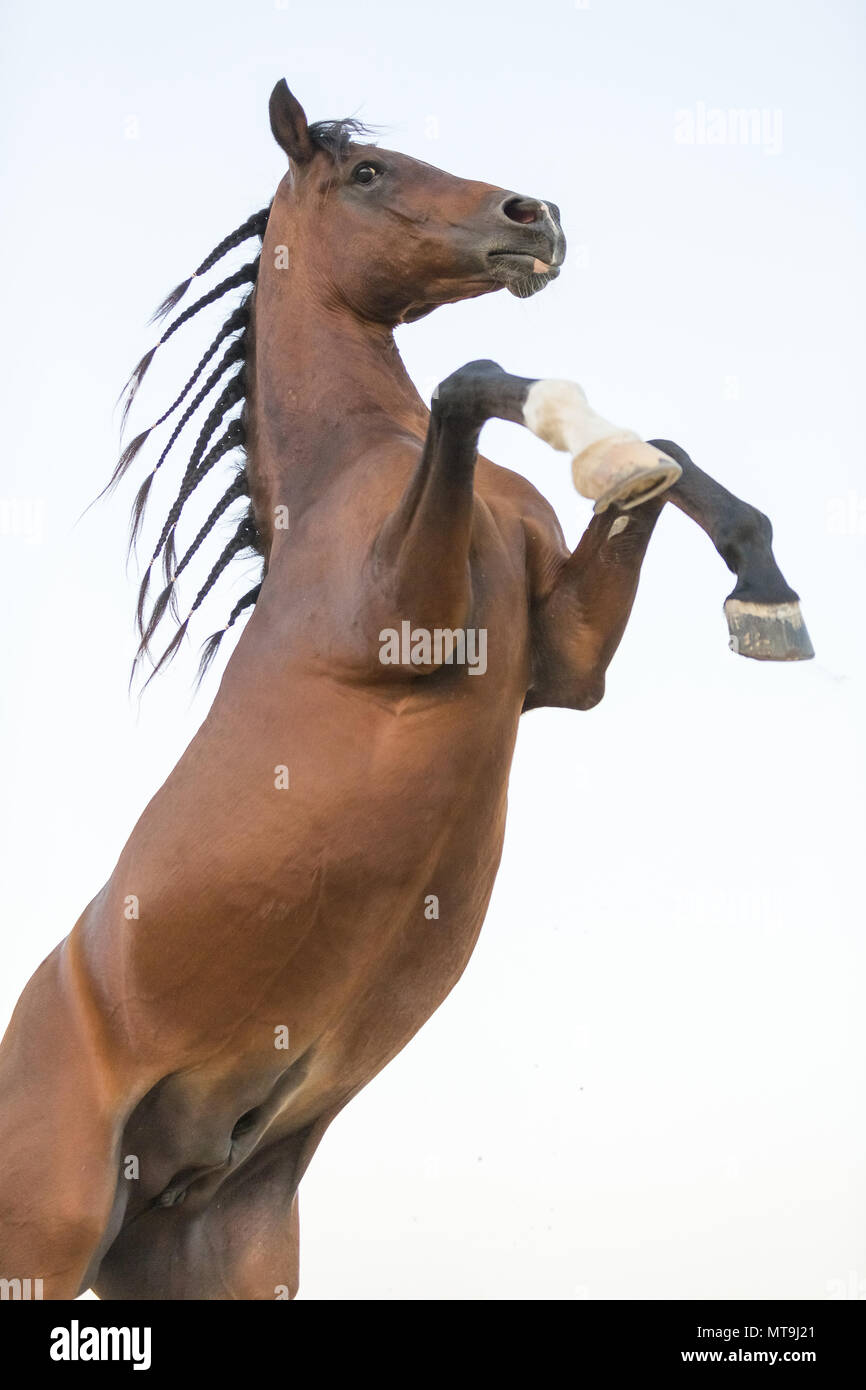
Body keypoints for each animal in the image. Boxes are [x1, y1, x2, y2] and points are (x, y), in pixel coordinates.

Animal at [0, 79, 812, 1300]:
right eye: (368, 174)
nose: (534, 217)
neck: (350, 474)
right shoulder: (410, 622)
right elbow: (469, 384)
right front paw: (602, 450)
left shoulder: (567, 666)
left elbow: (653, 461)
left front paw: (761, 589)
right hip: (44, 1238)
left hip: (217, 1247)